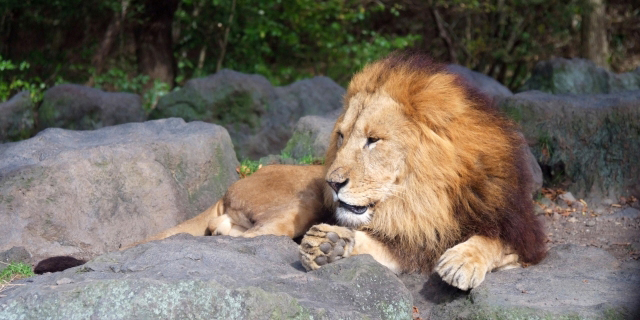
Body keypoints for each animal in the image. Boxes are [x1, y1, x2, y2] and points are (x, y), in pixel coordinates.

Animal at [131, 53, 544, 290]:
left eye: (373, 140)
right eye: (342, 136)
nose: (334, 181)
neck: (422, 198)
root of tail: (230, 186)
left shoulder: (523, 232)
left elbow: (492, 240)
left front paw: (461, 260)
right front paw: (329, 245)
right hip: (302, 200)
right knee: (239, 234)